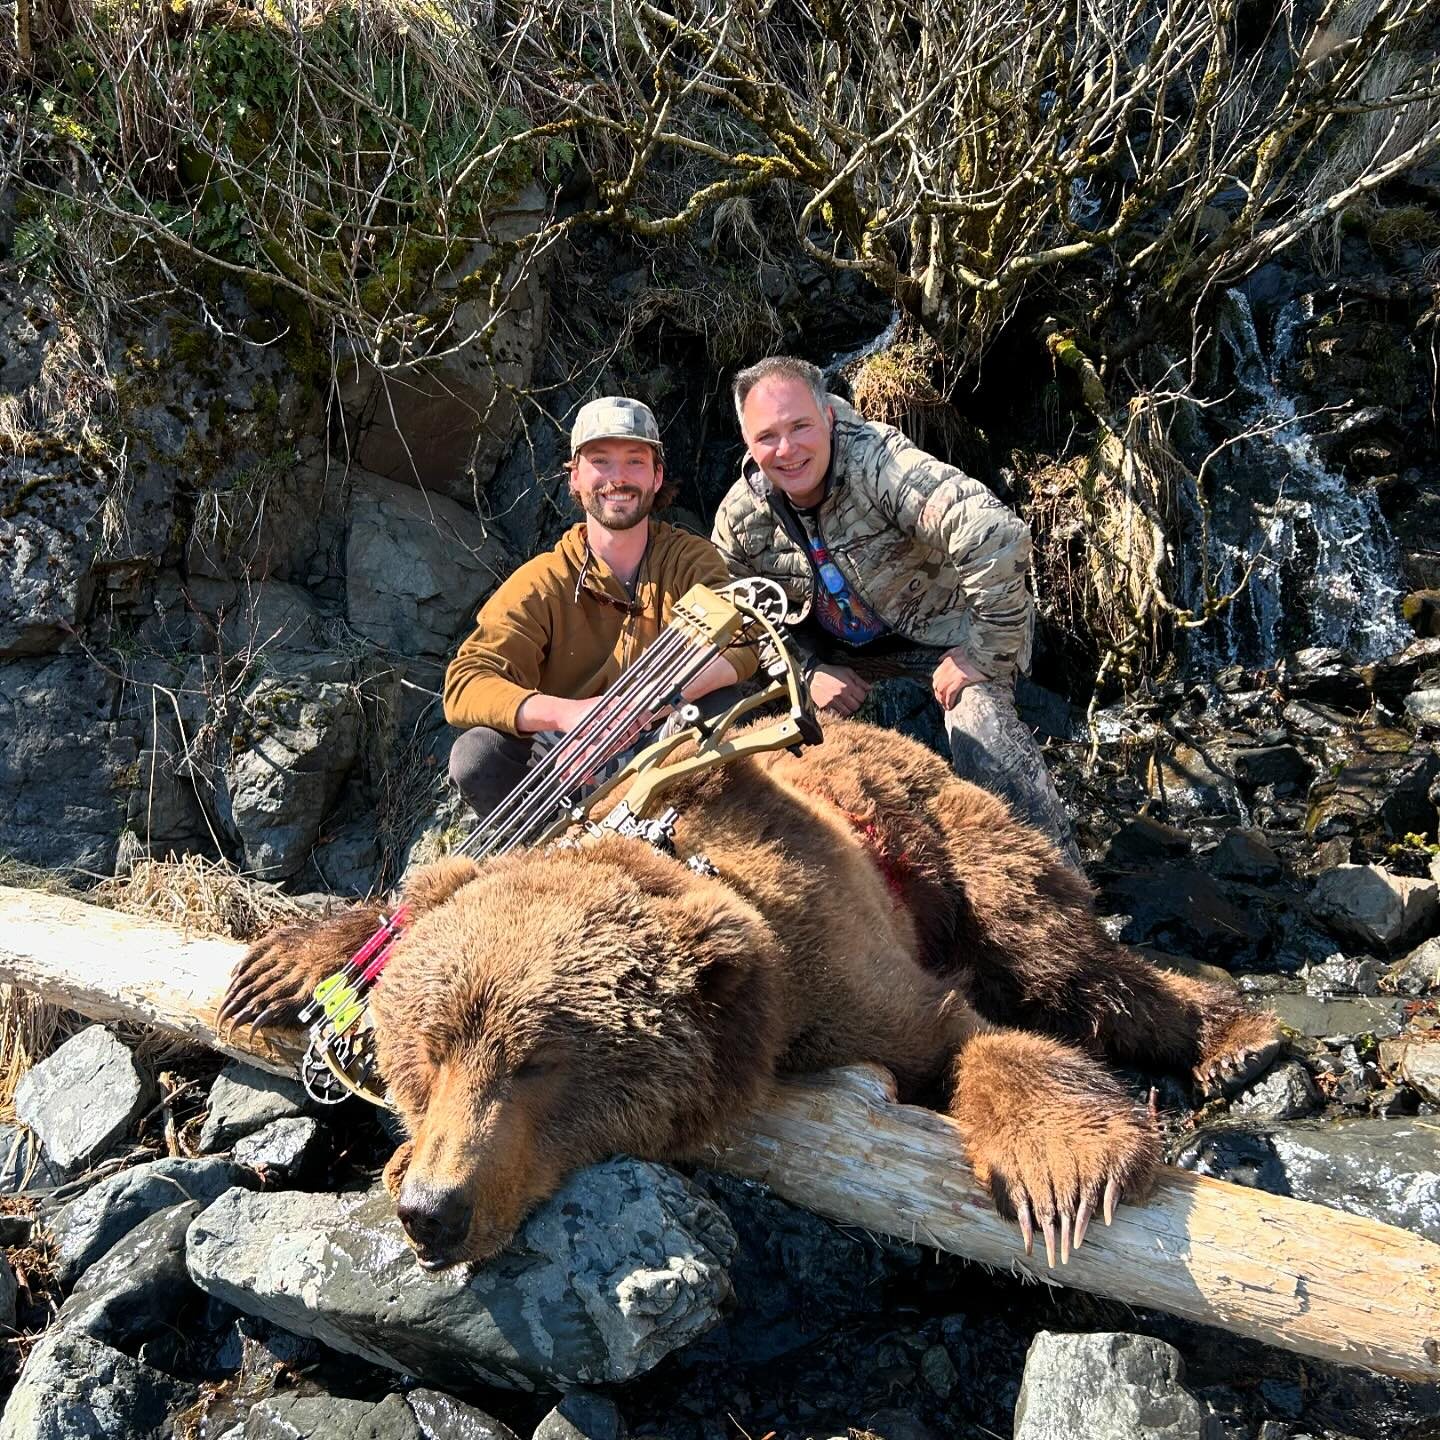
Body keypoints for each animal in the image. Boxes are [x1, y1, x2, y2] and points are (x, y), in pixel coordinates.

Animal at [220, 718, 1278, 1273]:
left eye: (538, 1062)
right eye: (427, 1058)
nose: (434, 1210)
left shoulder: (842, 960)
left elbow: (965, 1034)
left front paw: (1059, 1169)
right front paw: (287, 962)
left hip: (954, 839)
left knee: (1060, 950)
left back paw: (1238, 1040)